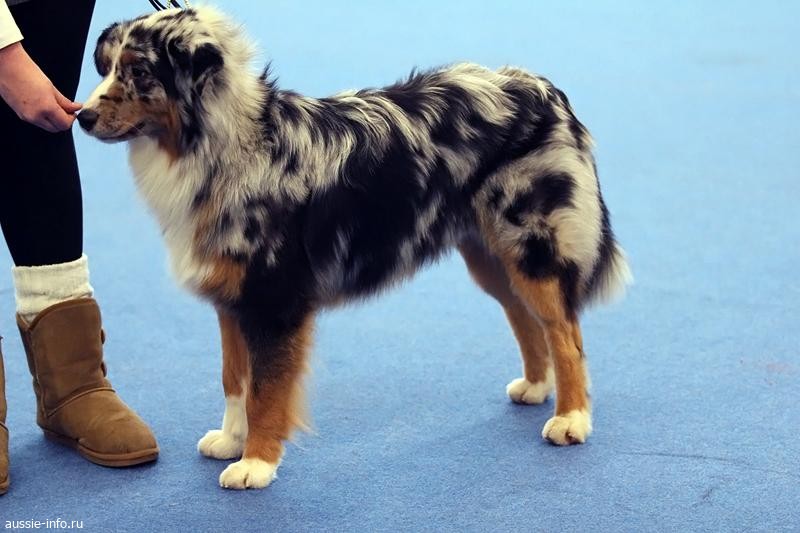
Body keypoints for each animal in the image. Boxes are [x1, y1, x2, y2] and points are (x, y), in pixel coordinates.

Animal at [78, 6, 631, 489]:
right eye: (108, 67)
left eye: (140, 71)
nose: (81, 116)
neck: (225, 146)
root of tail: (543, 89)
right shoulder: (233, 299)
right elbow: (234, 378)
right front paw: (232, 440)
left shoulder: (275, 302)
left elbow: (265, 392)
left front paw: (256, 464)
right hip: (488, 253)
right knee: (526, 318)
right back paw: (537, 388)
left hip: (530, 245)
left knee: (565, 332)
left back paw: (571, 419)